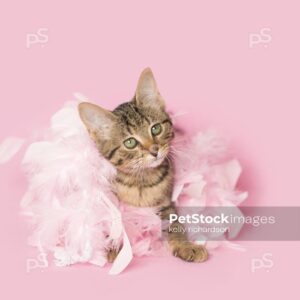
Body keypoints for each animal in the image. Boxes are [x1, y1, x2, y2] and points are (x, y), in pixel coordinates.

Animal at [78, 67, 207, 262]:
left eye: (156, 128)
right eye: (130, 142)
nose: (154, 150)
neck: (141, 180)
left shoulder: (166, 203)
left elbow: (174, 225)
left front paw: (186, 246)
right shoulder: (108, 200)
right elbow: (110, 221)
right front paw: (113, 245)